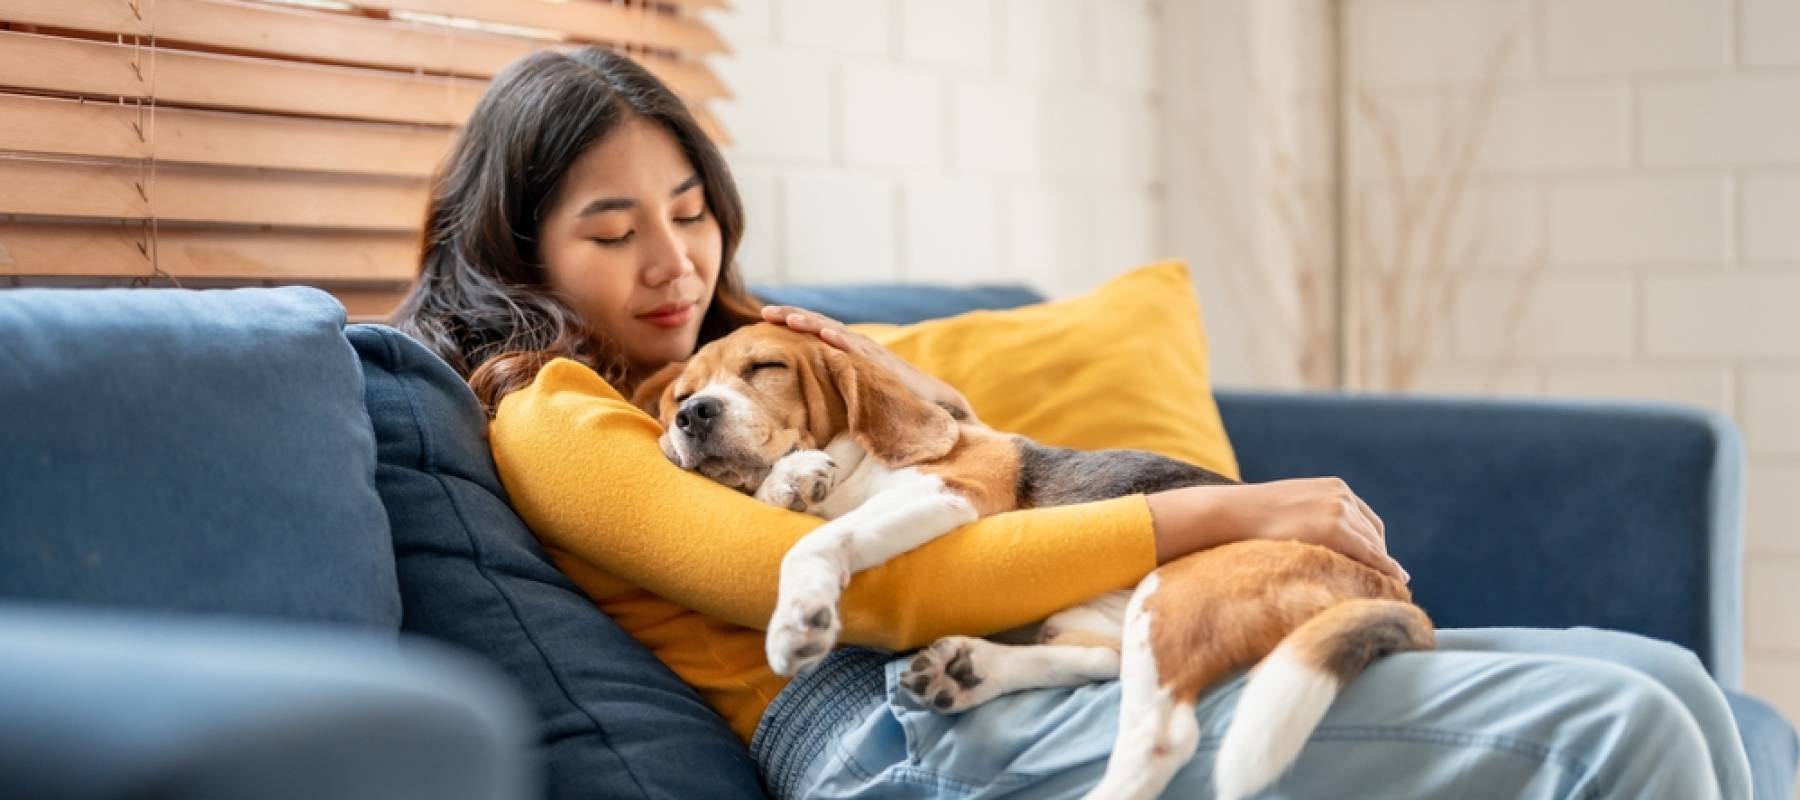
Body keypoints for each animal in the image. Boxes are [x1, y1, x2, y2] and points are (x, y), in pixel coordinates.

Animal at [637, 324, 1432, 800]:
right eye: (681, 394)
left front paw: (799, 613)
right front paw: (791, 481)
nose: (693, 416)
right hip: (1104, 613)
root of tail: (1394, 592)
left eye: (765, 367)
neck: (859, 457)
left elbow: (818, 540)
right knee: (1101, 661)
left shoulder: (951, 493)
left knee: (1162, 733)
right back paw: (971, 671)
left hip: (1176, 591)